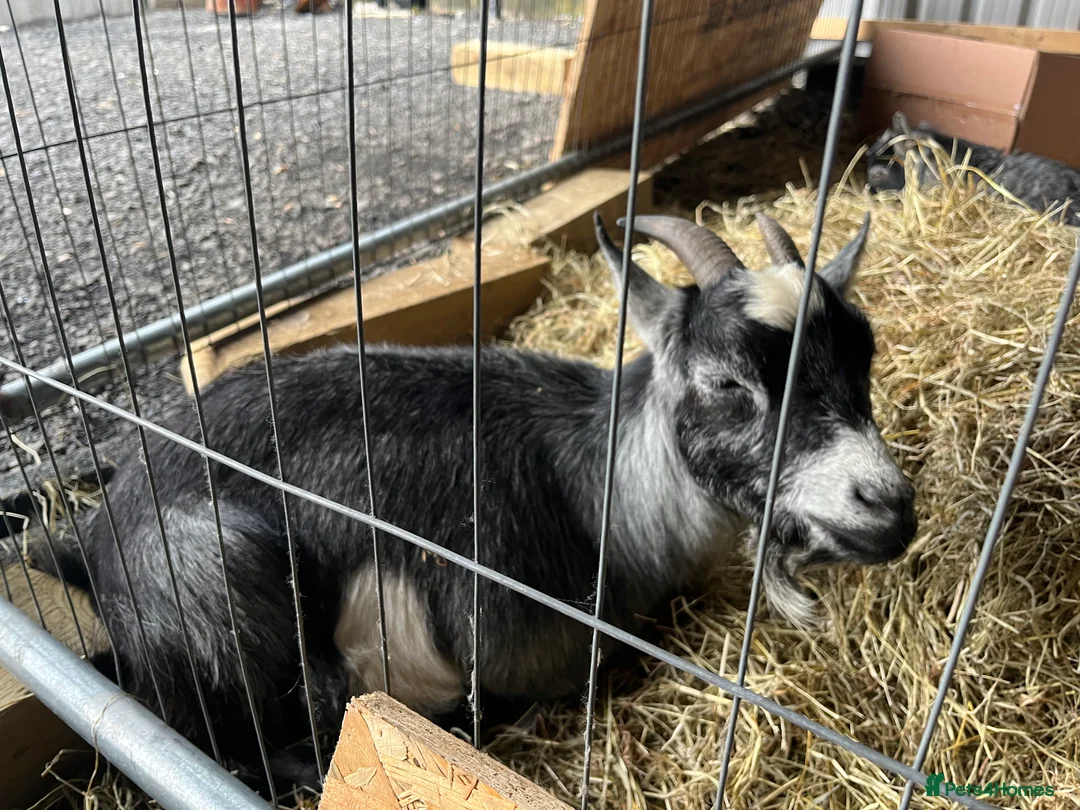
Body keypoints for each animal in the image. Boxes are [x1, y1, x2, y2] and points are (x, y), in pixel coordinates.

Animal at [4, 211, 916, 795]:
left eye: (865, 352)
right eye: (726, 382)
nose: (889, 506)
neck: (598, 490)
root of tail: (97, 541)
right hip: (225, 568)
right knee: (241, 743)